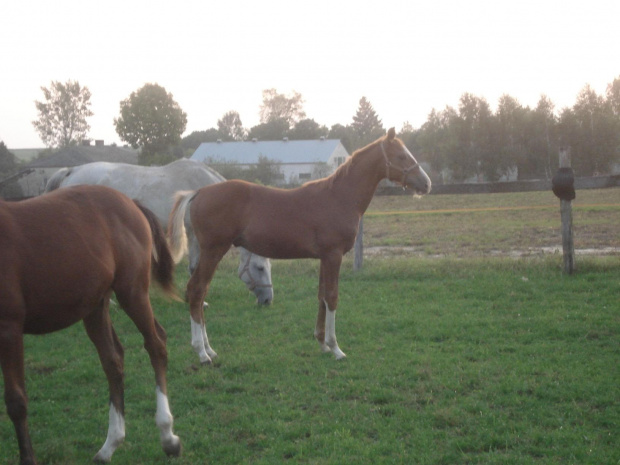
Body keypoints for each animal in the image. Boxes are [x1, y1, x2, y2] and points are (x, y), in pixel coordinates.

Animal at [1, 185, 182, 464]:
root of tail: (130, 202)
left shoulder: (9, 328)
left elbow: (16, 401)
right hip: (95, 305)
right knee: (113, 361)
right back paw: (109, 446)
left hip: (132, 292)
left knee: (156, 345)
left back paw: (168, 437)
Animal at [167, 128, 434, 362]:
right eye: (401, 156)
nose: (426, 183)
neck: (339, 197)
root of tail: (198, 192)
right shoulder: (334, 255)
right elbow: (332, 297)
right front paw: (336, 348)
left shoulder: (325, 258)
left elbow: (322, 296)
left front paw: (322, 343)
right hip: (213, 251)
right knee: (197, 291)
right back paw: (202, 353)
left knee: (199, 292)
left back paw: (209, 350)